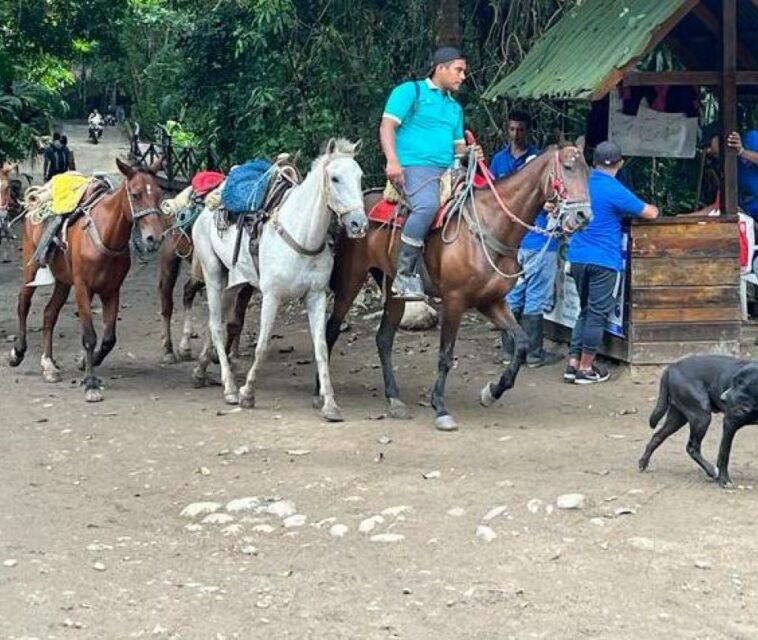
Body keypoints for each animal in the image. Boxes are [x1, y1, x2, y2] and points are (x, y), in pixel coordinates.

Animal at [8, 158, 165, 402]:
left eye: (159, 193)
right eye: (136, 194)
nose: (153, 238)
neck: (105, 234)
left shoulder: (112, 290)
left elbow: (109, 338)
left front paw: (86, 362)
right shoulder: (83, 288)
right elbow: (89, 336)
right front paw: (91, 383)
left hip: (63, 281)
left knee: (49, 313)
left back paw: (48, 365)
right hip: (31, 266)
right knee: (23, 303)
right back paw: (18, 352)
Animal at [190, 138, 368, 422]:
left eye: (360, 177)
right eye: (335, 178)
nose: (358, 224)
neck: (302, 236)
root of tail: (209, 202)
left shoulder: (316, 296)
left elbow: (321, 348)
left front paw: (330, 404)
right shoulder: (272, 296)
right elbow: (262, 346)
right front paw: (247, 393)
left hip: (233, 281)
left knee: (213, 322)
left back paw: (200, 371)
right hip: (213, 273)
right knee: (216, 326)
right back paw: (229, 388)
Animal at [324, 146, 592, 430]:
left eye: (588, 171)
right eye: (567, 167)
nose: (584, 215)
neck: (492, 223)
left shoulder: (492, 301)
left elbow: (521, 343)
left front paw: (492, 391)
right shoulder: (455, 300)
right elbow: (445, 355)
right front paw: (440, 408)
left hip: (396, 290)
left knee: (384, 338)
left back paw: (394, 399)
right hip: (350, 280)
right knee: (331, 329)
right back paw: (324, 392)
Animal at [640, 356, 758, 490]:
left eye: (742, 384)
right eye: (733, 381)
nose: (722, 397)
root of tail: (671, 367)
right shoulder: (729, 423)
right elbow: (724, 454)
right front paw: (724, 480)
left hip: (678, 418)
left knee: (657, 436)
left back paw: (643, 463)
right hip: (701, 416)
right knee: (691, 447)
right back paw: (712, 471)